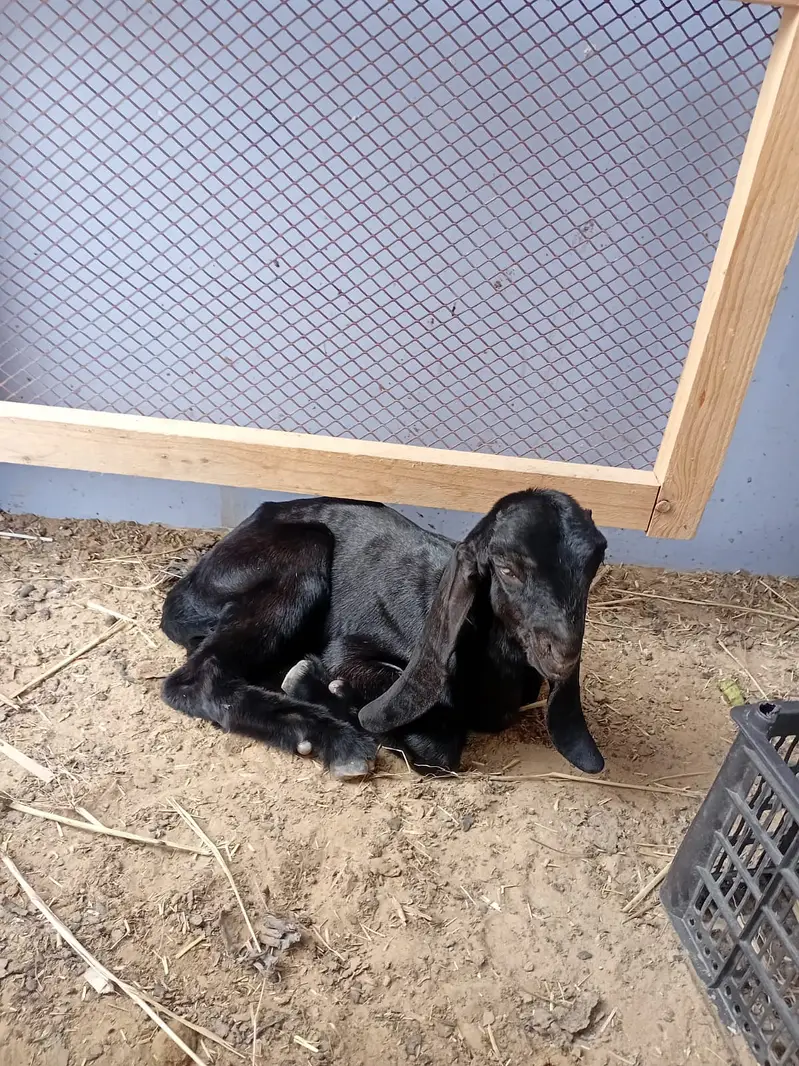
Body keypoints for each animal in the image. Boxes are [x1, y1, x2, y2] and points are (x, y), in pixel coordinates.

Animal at [160, 489, 607, 777]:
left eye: (593, 565)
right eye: (508, 568)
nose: (564, 653)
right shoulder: (349, 651)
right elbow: (438, 745)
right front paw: (315, 685)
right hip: (302, 554)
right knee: (194, 679)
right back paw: (333, 740)